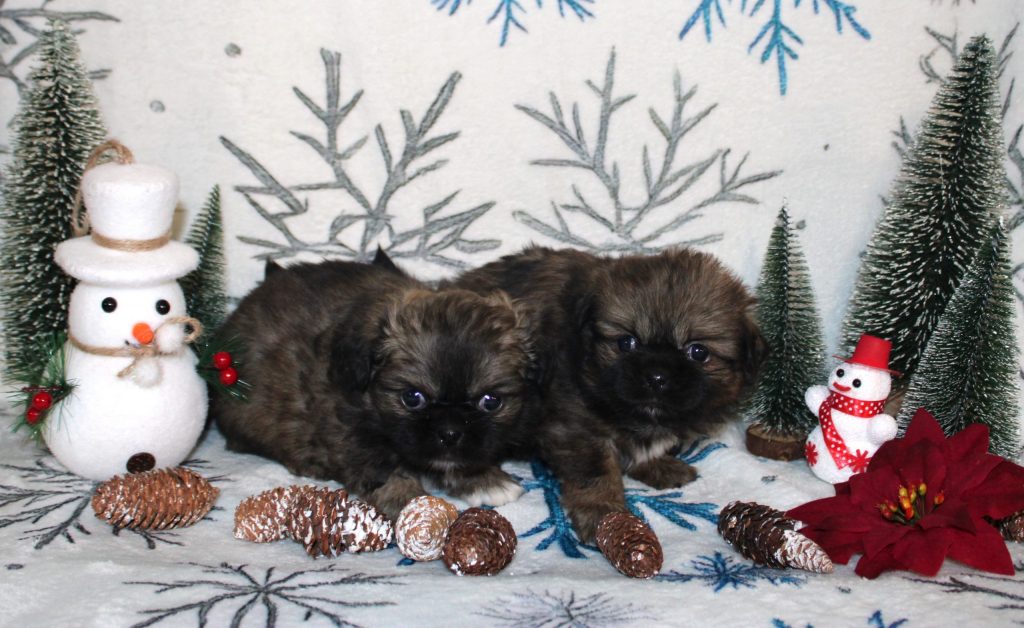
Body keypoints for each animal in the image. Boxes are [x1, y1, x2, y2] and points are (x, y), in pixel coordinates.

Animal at [213, 258, 538, 520]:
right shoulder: (350, 433)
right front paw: (411, 504)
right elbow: (386, 472)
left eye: (490, 402)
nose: (449, 433)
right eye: (412, 398)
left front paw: (483, 479)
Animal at [452, 246, 766, 541]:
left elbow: (645, 449)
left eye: (698, 352)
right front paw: (604, 513)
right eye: (627, 342)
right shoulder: (576, 427)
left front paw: (656, 465)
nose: (657, 376)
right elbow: (596, 472)